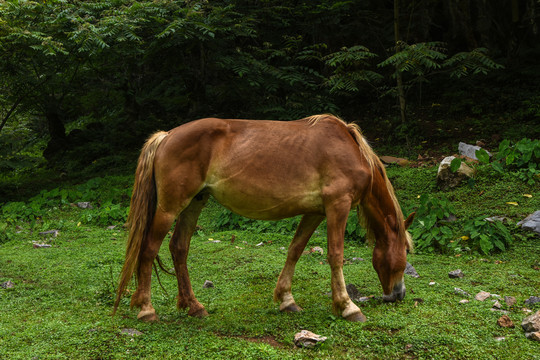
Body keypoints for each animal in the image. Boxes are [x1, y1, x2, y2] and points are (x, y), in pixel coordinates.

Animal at [113, 114, 414, 322]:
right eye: (406, 251)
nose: (398, 294)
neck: (350, 150)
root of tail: (166, 136)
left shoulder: (315, 212)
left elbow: (295, 250)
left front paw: (286, 299)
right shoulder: (337, 206)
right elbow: (336, 255)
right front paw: (347, 306)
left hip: (194, 203)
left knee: (179, 248)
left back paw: (194, 306)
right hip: (169, 208)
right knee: (149, 249)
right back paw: (147, 310)